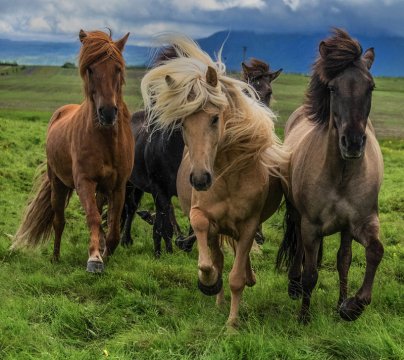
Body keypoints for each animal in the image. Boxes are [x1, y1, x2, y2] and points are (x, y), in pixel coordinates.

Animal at [11, 29, 133, 272]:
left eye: (117, 68)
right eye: (90, 69)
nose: (107, 113)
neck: (107, 141)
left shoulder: (118, 186)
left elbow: (114, 229)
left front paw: (106, 254)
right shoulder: (84, 181)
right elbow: (93, 218)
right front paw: (94, 258)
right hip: (58, 184)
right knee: (59, 221)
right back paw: (56, 257)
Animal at [140, 35, 288, 326]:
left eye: (215, 118)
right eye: (182, 123)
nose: (199, 179)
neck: (229, 178)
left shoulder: (248, 225)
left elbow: (237, 276)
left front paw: (232, 324)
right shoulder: (202, 216)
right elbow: (207, 257)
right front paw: (208, 283)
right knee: (217, 257)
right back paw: (217, 297)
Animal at [276, 28, 384, 324]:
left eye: (371, 87)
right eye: (333, 88)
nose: (353, 143)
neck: (342, 175)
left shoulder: (361, 221)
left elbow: (371, 253)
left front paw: (350, 306)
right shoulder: (311, 226)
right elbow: (311, 273)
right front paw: (303, 317)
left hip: (344, 229)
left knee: (343, 259)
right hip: (297, 215)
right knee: (299, 250)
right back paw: (294, 285)